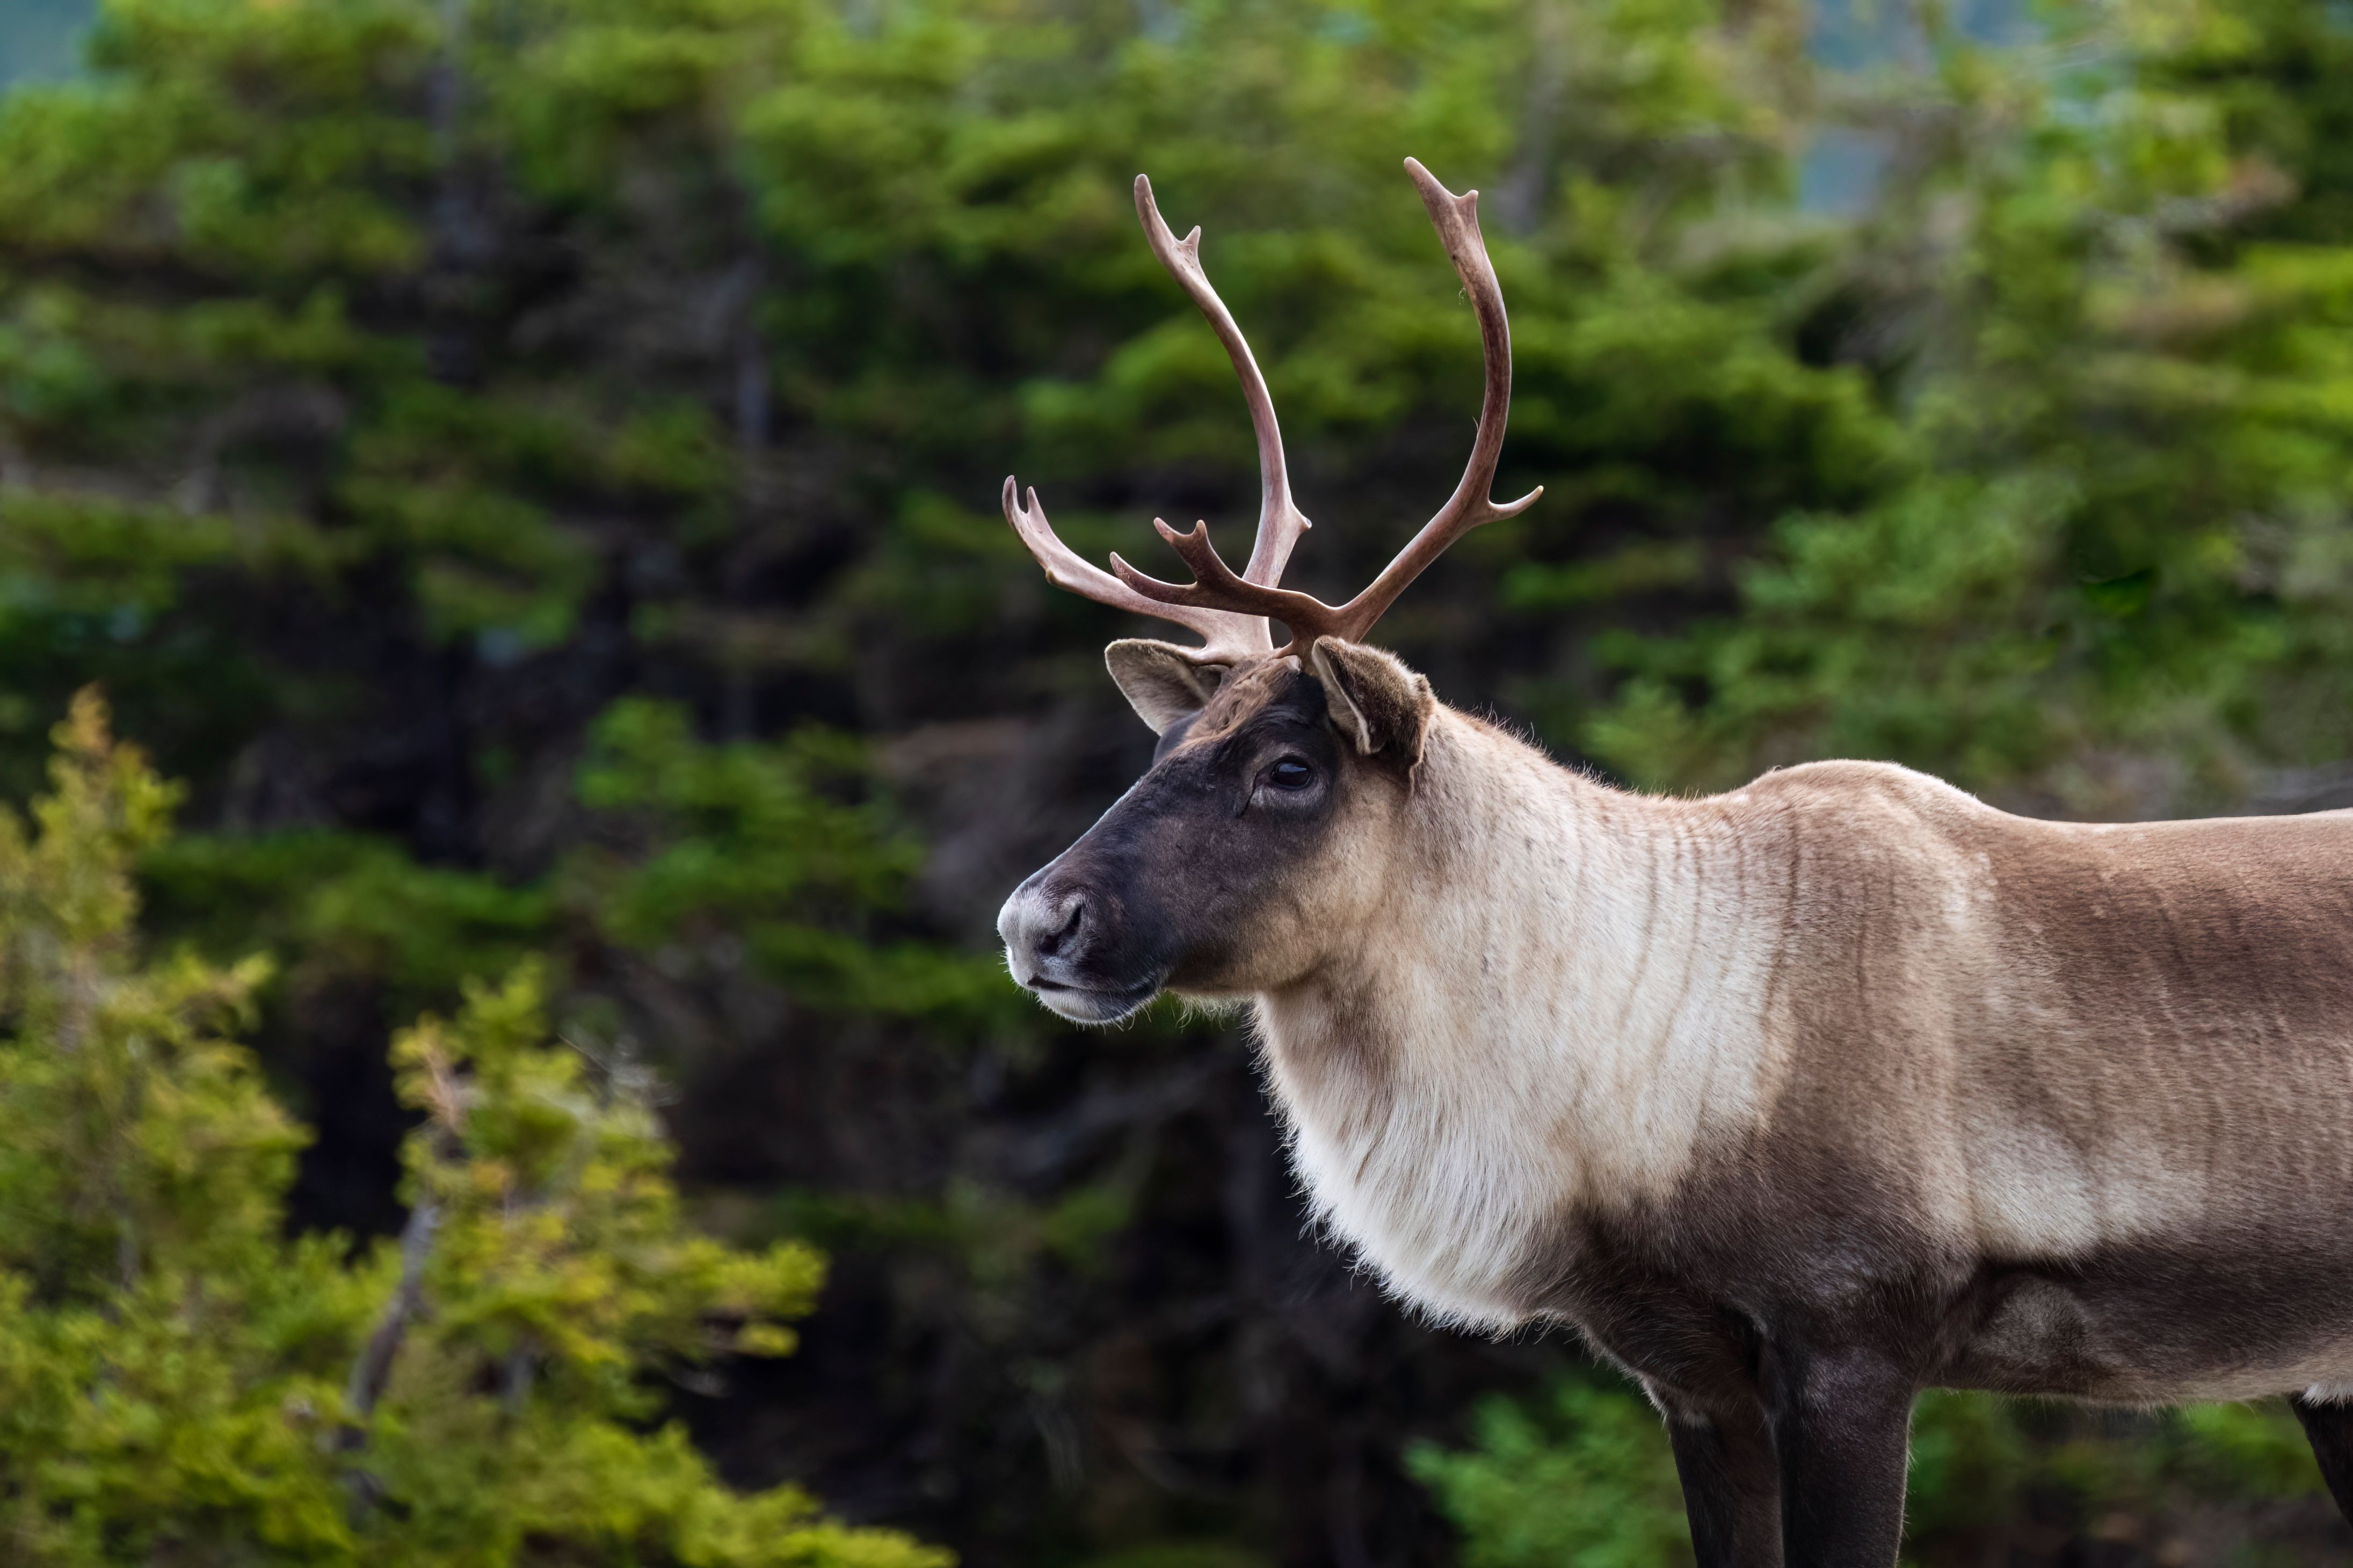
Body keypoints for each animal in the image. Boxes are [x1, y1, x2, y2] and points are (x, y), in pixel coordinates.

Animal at [993, 158, 2353, 1565]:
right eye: (1169, 741)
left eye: (1288, 767)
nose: (1038, 920)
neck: (1636, 1069)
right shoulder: (1688, 1370)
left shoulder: (1854, 1335)